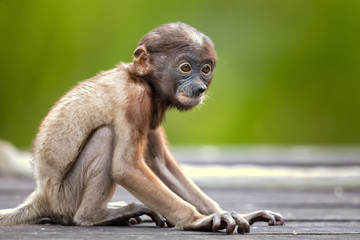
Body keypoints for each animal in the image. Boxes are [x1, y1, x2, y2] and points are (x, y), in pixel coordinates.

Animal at [1, 23, 286, 234]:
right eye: (185, 67)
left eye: (206, 69)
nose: (199, 88)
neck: (140, 79)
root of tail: (43, 194)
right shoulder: (135, 99)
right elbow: (126, 167)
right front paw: (198, 220)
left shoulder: (152, 108)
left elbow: (160, 163)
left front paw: (230, 213)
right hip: (65, 196)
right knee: (106, 136)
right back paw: (96, 216)